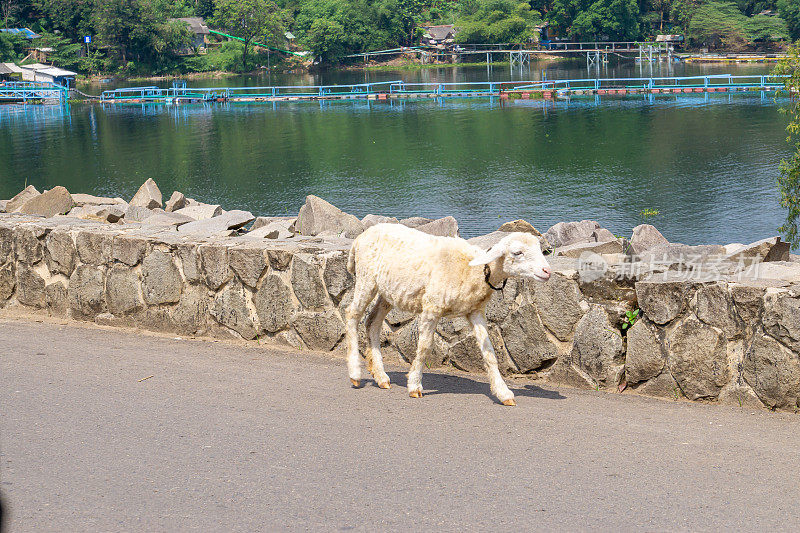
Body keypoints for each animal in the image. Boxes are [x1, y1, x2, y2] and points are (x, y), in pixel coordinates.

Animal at [344, 222, 552, 406]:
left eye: (540, 250)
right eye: (517, 253)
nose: (547, 271)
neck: (476, 271)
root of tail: (361, 237)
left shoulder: (475, 311)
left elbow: (489, 353)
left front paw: (503, 393)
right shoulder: (432, 306)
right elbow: (424, 347)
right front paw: (414, 385)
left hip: (388, 291)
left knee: (372, 322)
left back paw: (381, 377)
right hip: (366, 280)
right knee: (352, 315)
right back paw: (355, 373)